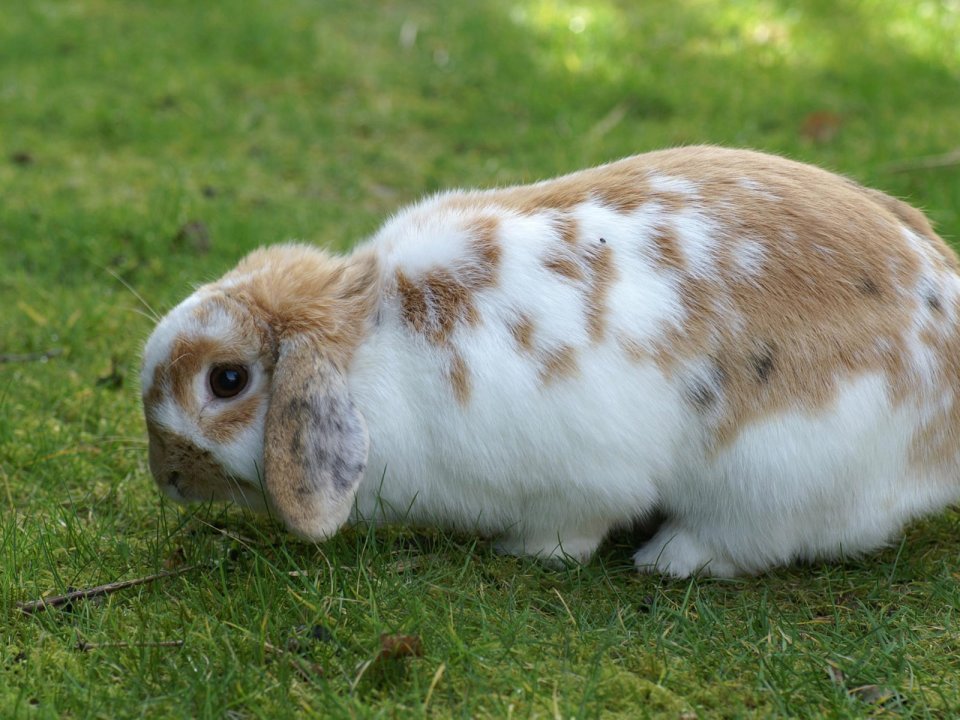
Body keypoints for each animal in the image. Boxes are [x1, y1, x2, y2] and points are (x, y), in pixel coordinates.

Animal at [141, 145, 960, 577]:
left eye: (226, 381)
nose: (167, 479)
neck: (369, 347)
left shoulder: (579, 479)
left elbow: (570, 527)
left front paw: (526, 554)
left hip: (771, 474)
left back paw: (665, 558)